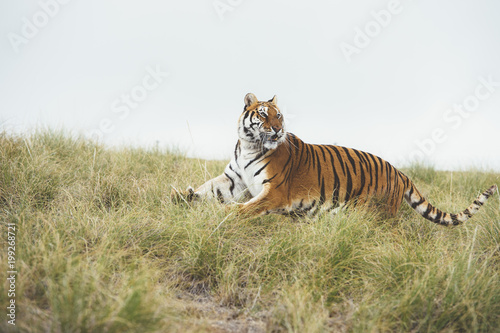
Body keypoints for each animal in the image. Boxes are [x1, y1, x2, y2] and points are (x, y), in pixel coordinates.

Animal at [171, 92, 496, 224]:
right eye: (263, 115)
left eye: (280, 116)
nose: (277, 129)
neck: (250, 144)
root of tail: (401, 173)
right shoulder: (233, 178)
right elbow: (206, 189)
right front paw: (180, 196)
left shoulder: (274, 192)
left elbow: (246, 208)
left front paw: (224, 214)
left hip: (374, 213)